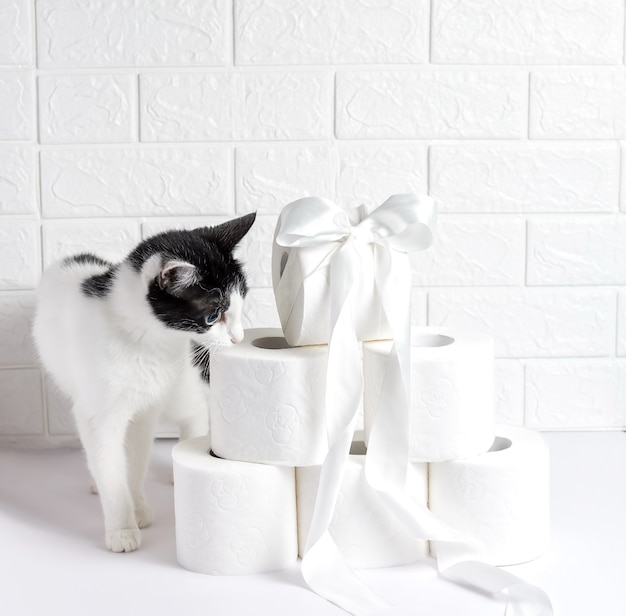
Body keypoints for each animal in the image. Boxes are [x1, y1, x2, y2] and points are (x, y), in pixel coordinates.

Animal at [31, 213, 256, 552]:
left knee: (193, 411)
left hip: (179, 386)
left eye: (240, 306)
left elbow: (136, 462)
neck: (150, 342)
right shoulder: (98, 414)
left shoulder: (146, 409)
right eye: (212, 316)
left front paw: (136, 508)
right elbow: (109, 466)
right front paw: (121, 527)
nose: (239, 338)